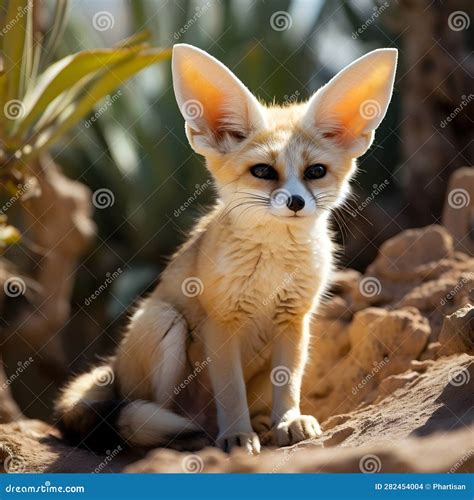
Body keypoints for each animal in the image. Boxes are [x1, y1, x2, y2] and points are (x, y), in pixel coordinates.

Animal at [55, 45, 396, 456]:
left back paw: (260, 425)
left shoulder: (294, 319)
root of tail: (114, 367)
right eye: (263, 172)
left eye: (315, 172)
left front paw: (288, 421)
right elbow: (231, 392)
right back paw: (195, 439)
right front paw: (237, 435)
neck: (272, 267)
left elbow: (288, 384)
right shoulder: (222, 322)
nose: (296, 202)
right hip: (164, 323)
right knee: (156, 416)